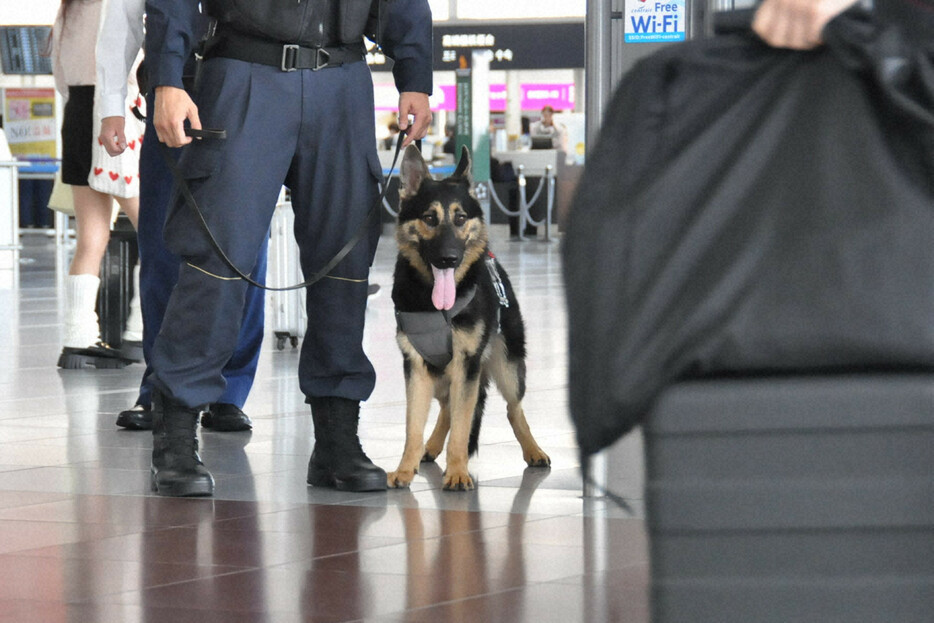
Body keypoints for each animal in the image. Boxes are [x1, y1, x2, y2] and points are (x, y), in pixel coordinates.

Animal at [386, 146, 548, 492]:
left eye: (460, 218)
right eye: (429, 218)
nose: (448, 259)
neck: (436, 307)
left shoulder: (467, 364)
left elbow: (462, 426)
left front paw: (458, 472)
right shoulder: (416, 368)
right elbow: (412, 427)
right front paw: (405, 469)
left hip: (508, 369)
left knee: (513, 409)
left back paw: (533, 451)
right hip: (441, 377)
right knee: (448, 407)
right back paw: (431, 447)